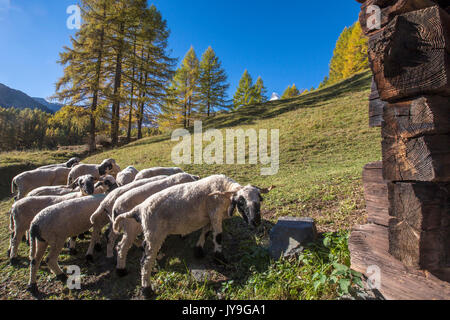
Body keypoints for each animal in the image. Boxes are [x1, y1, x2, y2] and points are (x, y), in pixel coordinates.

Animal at [112, 174, 274, 298]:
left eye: (260, 200)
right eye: (241, 202)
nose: (256, 221)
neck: (223, 189)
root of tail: (139, 209)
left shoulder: (209, 217)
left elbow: (206, 232)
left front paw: (199, 251)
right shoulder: (215, 214)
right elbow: (218, 237)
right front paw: (220, 259)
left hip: (142, 231)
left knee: (122, 247)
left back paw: (122, 270)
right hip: (153, 234)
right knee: (144, 261)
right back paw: (146, 289)